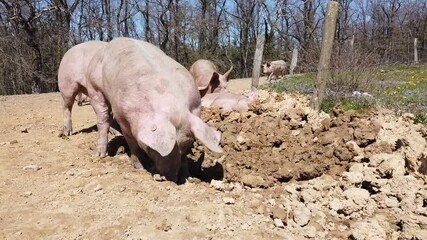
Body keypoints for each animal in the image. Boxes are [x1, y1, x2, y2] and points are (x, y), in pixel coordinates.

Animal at [85, 37, 222, 183]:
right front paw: (140, 169)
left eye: (184, 146)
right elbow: (133, 145)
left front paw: (188, 177)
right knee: (103, 119)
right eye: (152, 149)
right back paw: (100, 155)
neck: (170, 103)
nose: (171, 178)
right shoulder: (123, 117)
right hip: (94, 89)